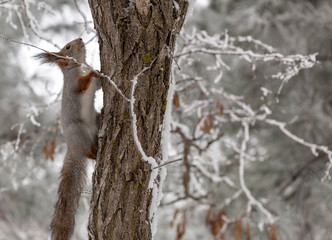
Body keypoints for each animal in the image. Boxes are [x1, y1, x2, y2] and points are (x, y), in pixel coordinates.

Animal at [34, 38, 101, 240]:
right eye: (68, 47)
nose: (80, 39)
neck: (76, 67)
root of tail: (73, 148)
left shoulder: (95, 86)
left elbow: (98, 85)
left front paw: (99, 71)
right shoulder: (73, 84)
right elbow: (82, 85)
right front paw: (92, 73)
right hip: (79, 131)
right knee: (88, 153)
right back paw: (94, 153)